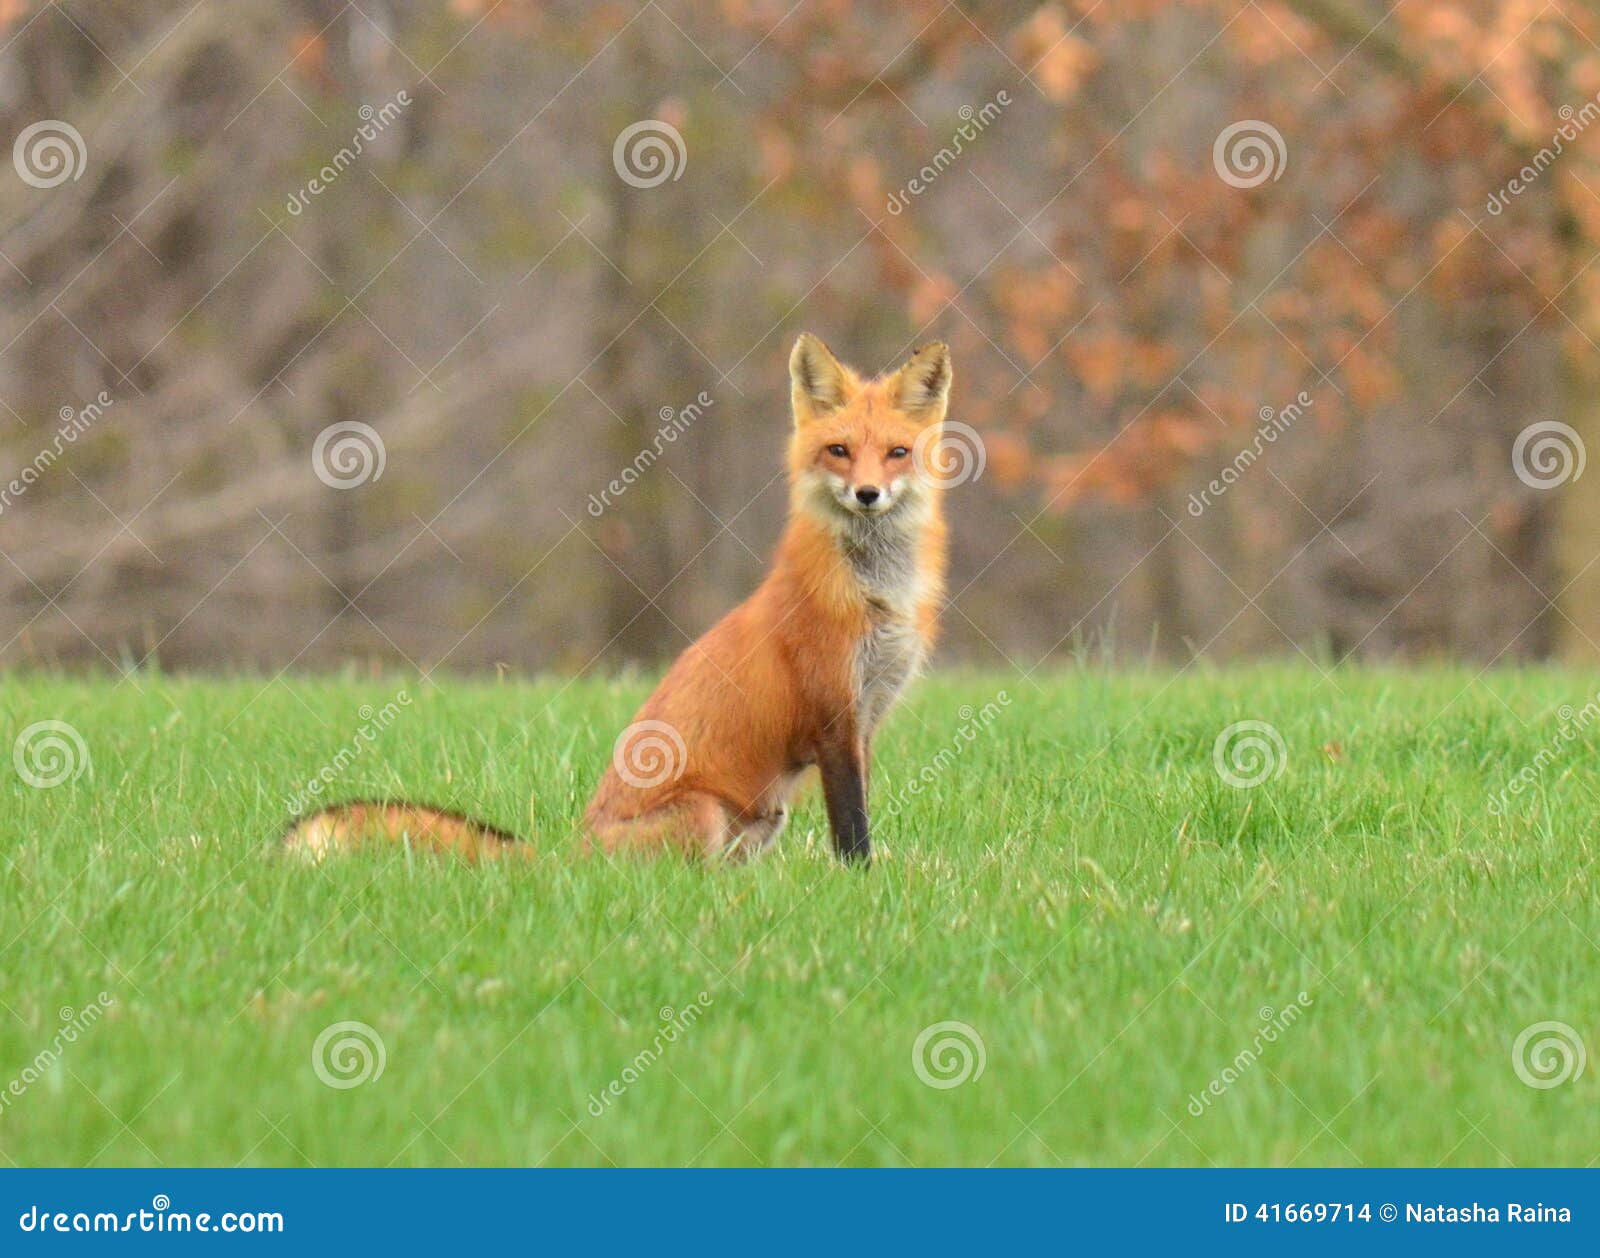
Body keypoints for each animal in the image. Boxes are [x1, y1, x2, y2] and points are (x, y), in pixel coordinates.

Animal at [283, 332, 947, 864]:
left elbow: (858, 817)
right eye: (839, 450)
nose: (867, 494)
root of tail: (570, 857)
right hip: (706, 813)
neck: (876, 593)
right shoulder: (833, 717)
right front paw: (862, 883)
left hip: (765, 818)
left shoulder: (865, 719)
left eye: (897, 453)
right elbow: (853, 833)